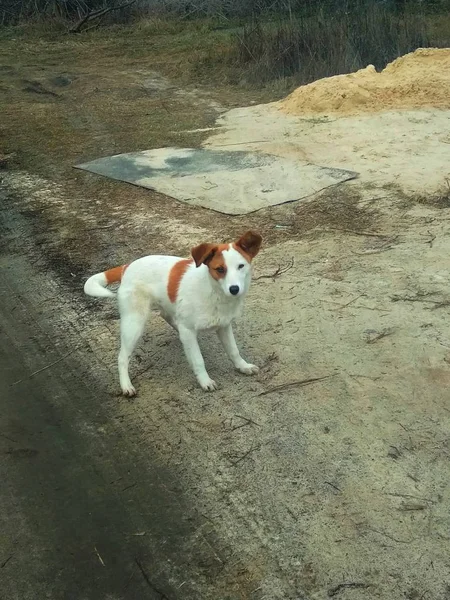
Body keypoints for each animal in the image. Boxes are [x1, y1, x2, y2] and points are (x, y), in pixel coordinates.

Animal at [83, 232, 262, 396]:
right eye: (220, 269)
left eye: (241, 266)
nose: (234, 289)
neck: (213, 291)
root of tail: (127, 266)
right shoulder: (188, 329)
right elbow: (198, 360)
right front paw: (205, 381)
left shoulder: (224, 326)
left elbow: (234, 350)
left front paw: (243, 366)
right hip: (134, 324)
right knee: (122, 357)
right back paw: (126, 385)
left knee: (167, 316)